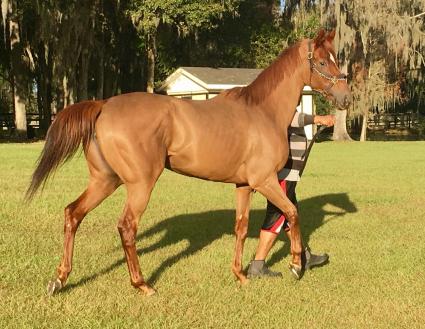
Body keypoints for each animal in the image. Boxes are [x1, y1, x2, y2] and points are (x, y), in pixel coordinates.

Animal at [28, 28, 350, 294]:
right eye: (323, 62)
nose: (345, 98)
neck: (262, 111)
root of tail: (103, 105)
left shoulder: (244, 185)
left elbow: (242, 227)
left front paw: (240, 275)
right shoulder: (265, 181)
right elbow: (292, 213)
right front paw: (296, 265)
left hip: (106, 180)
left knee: (73, 214)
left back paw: (59, 279)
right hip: (140, 184)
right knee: (127, 227)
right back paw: (142, 285)